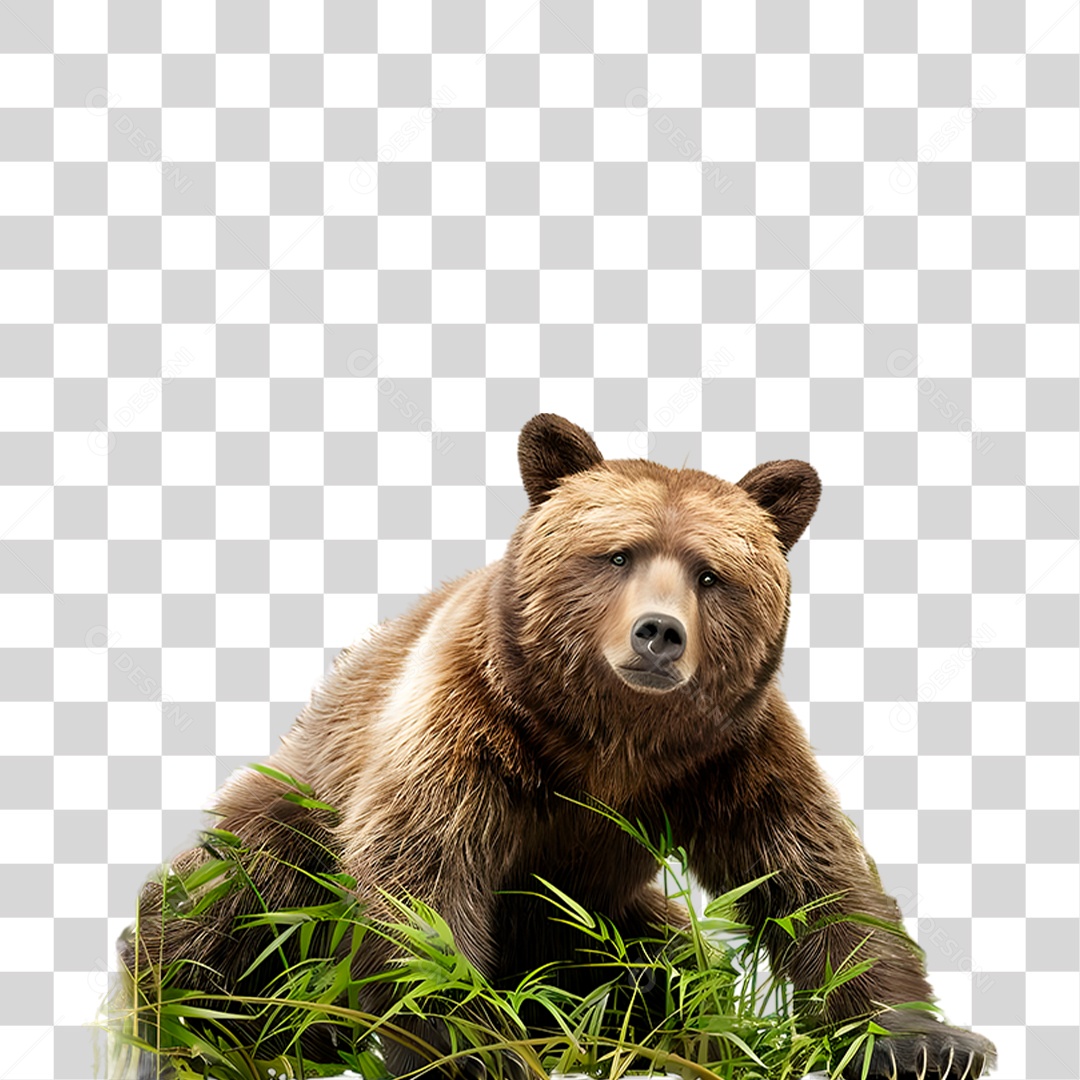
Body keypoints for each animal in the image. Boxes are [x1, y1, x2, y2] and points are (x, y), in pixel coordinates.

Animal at [119, 413, 996, 1080]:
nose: (658, 634)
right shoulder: (472, 725)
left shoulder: (729, 753)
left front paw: (925, 1043)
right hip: (296, 815)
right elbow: (423, 874)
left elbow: (814, 876)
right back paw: (212, 1024)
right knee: (234, 895)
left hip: (608, 921)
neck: (611, 741)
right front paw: (473, 1048)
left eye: (711, 575)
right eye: (619, 553)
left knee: (673, 965)